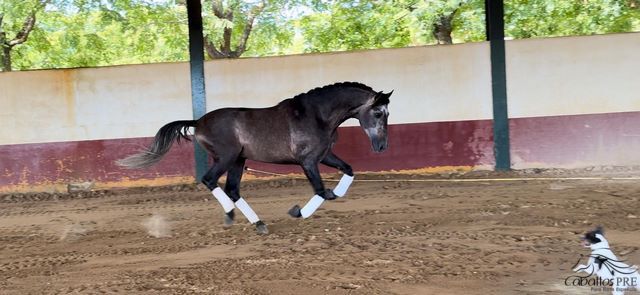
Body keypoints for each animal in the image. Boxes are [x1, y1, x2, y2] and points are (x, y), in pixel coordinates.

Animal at [117, 82, 392, 235]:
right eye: (379, 113)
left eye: (388, 113)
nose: (381, 146)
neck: (317, 116)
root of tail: (198, 121)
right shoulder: (308, 161)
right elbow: (322, 191)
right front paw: (297, 212)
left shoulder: (324, 156)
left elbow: (348, 171)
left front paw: (331, 195)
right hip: (226, 157)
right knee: (210, 180)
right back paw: (230, 216)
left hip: (238, 161)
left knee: (232, 189)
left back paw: (258, 224)